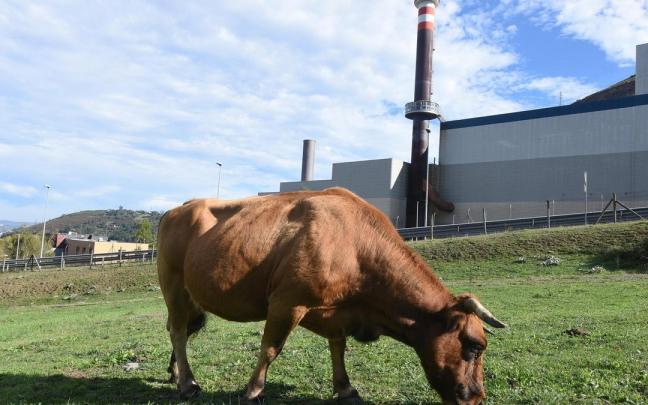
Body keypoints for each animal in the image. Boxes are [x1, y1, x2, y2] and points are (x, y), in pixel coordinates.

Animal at [157, 187, 505, 404]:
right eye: (475, 346)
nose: (477, 397)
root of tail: (178, 208)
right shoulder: (288, 301)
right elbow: (270, 348)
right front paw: (253, 391)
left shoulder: (336, 311)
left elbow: (338, 347)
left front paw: (345, 387)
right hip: (172, 283)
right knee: (178, 331)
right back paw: (188, 385)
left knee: (181, 329)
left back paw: (175, 374)